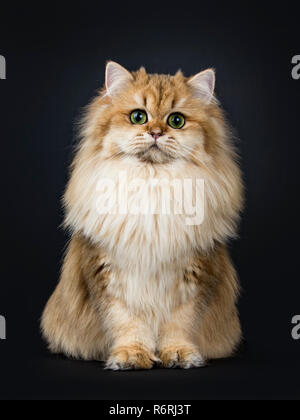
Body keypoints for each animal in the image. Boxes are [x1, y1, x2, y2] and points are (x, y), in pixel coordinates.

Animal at [40, 60, 244, 370]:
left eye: (176, 121)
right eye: (139, 117)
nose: (156, 132)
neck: (152, 182)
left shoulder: (196, 275)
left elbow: (179, 324)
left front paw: (178, 355)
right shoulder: (107, 274)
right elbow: (127, 324)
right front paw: (132, 356)